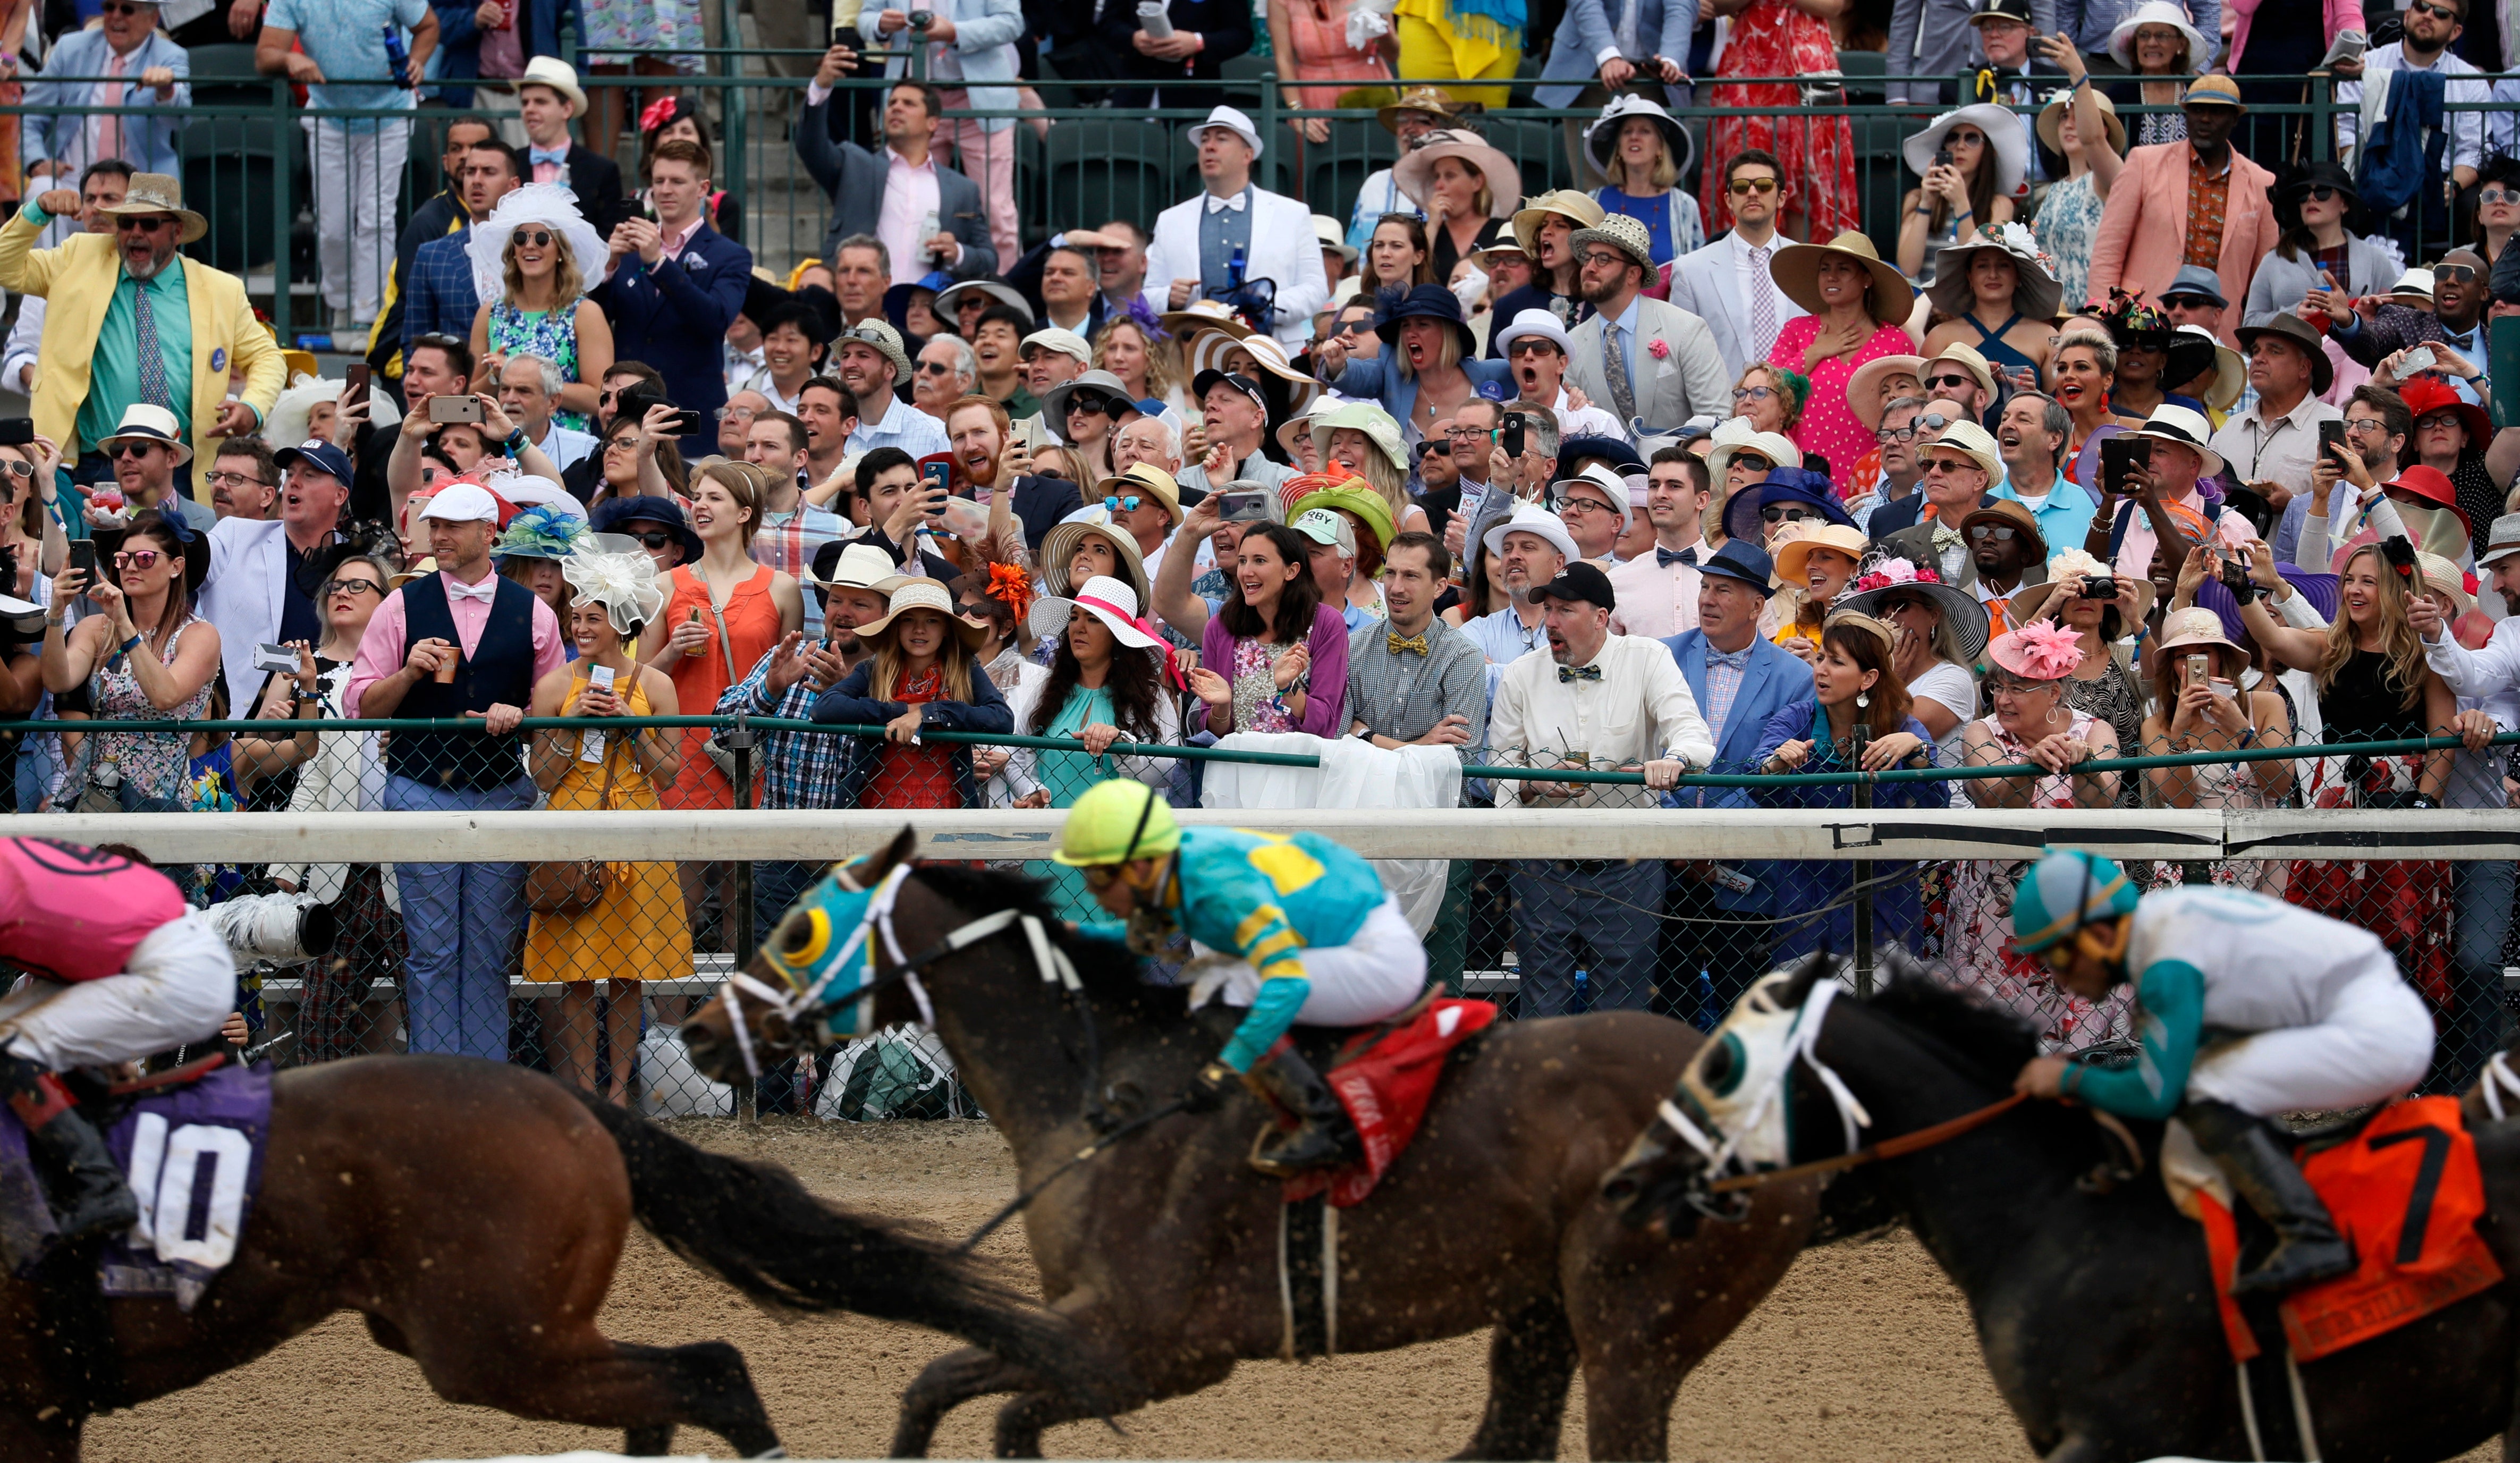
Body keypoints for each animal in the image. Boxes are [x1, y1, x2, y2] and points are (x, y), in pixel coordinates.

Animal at [0, 1058, 1088, 1450]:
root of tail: (565, 1097)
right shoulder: (46, 1402)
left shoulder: (31, 1401)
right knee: (677, 1388)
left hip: (495, 1341)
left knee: (706, 1374)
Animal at [670, 826, 1814, 1450]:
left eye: (798, 929)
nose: (697, 1030)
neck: (1096, 1086)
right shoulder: (1097, 1342)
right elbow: (974, 1403)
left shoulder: (1148, 1345)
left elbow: (953, 1389)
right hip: (1540, 1309)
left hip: (1634, 1329)